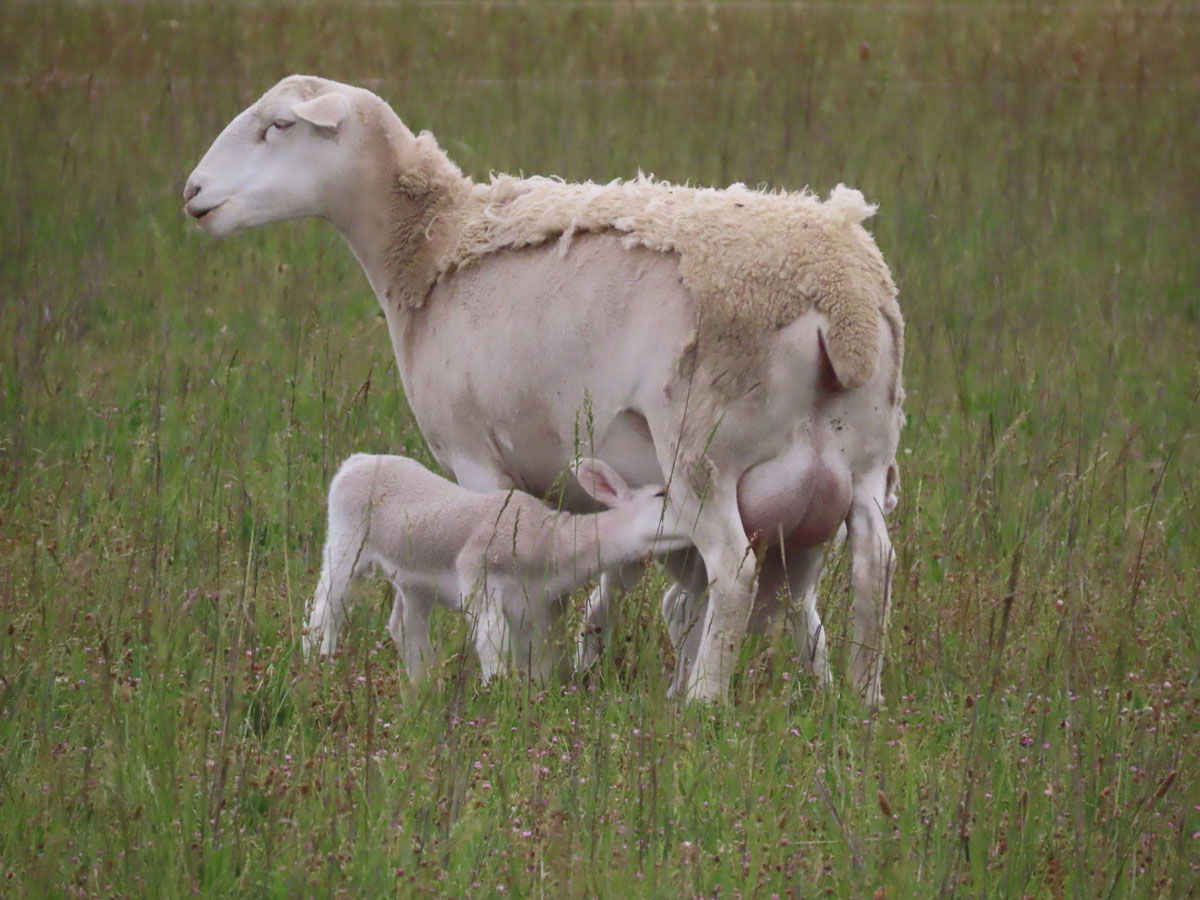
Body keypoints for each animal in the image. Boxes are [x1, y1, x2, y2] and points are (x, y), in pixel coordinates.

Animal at [306, 454, 691, 682]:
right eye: (661, 495)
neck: (551, 540)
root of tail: (356, 461)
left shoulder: (531, 606)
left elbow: (532, 653)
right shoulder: (478, 574)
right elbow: (493, 641)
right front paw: (496, 689)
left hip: (413, 576)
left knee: (404, 624)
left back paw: (422, 685)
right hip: (345, 538)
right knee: (325, 605)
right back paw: (319, 662)